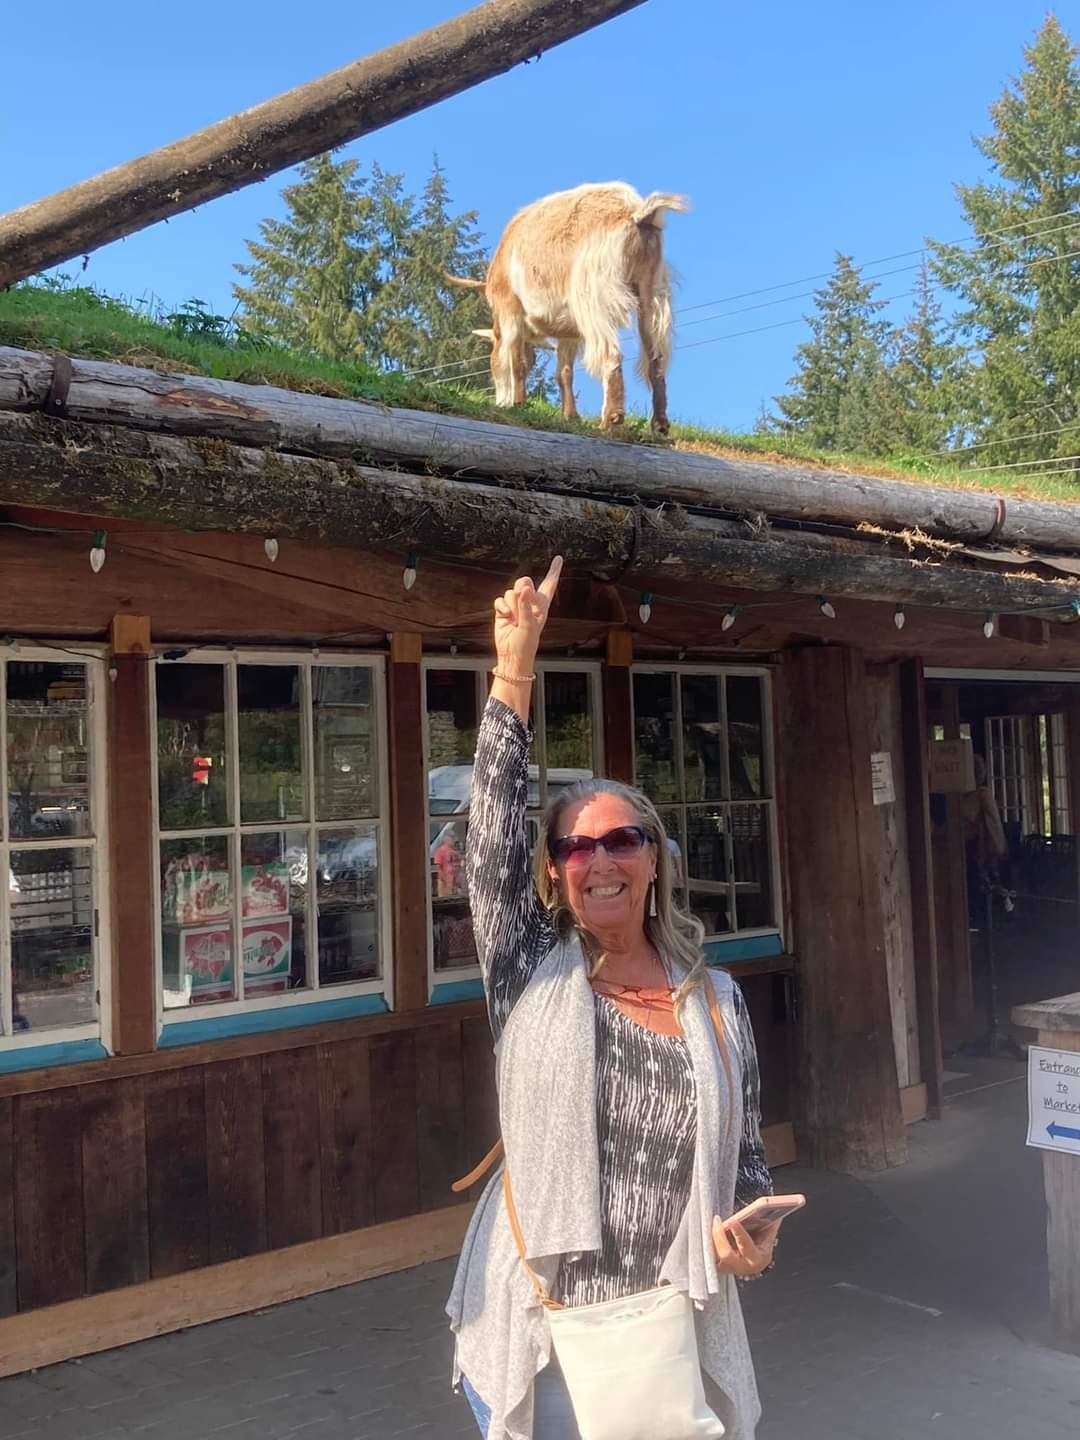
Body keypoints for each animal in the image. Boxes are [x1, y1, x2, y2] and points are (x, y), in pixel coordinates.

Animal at [449, 180, 688, 429]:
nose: (499, 402)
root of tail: (637, 213)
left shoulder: (510, 309)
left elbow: (517, 360)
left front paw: (518, 404)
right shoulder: (569, 332)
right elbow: (564, 372)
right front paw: (570, 416)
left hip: (595, 293)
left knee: (611, 352)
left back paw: (611, 419)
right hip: (651, 292)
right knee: (656, 358)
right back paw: (659, 424)